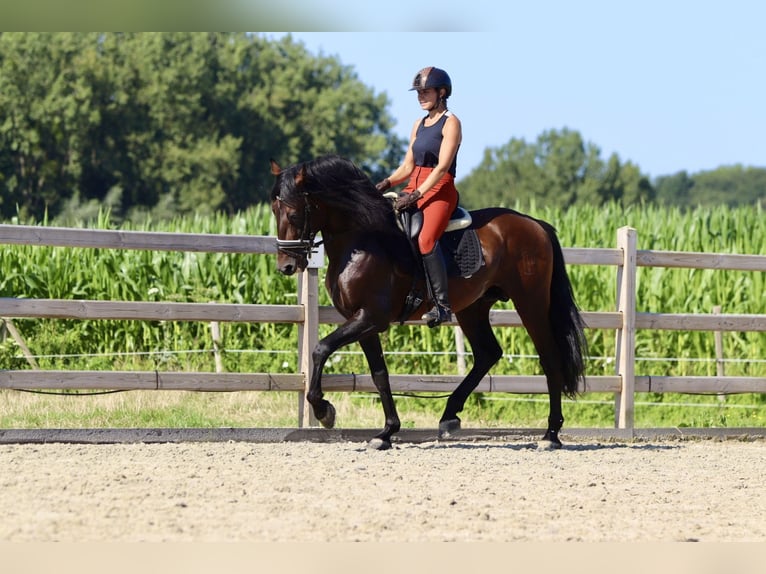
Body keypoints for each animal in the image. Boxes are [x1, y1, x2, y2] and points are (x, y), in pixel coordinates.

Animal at [270, 155, 588, 452]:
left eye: (294, 213)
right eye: (274, 210)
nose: (286, 266)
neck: (362, 240)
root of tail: (535, 224)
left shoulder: (369, 318)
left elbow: (320, 349)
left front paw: (324, 410)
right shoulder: (363, 323)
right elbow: (379, 374)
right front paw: (386, 432)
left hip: (530, 303)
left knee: (549, 358)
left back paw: (551, 435)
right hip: (473, 308)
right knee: (488, 353)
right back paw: (449, 416)